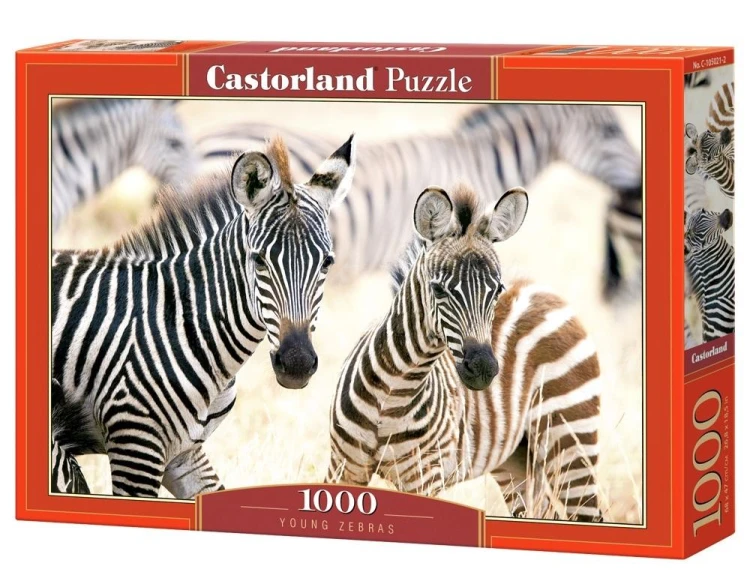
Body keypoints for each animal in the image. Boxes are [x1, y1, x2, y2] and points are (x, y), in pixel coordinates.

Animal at [327, 184, 603, 522]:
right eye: (439, 290)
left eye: (497, 291)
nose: (483, 368)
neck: (392, 394)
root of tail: (545, 292)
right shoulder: (342, 468)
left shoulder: (424, 478)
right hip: (517, 461)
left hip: (571, 440)